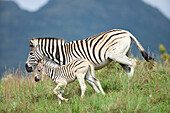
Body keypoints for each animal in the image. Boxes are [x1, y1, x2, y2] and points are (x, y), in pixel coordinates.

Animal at [25, 29, 155, 77]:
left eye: (31, 54)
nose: (26, 67)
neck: (63, 53)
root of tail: (127, 32)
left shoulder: (75, 66)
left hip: (117, 55)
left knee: (133, 62)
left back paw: (131, 82)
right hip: (123, 55)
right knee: (128, 67)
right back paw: (127, 83)